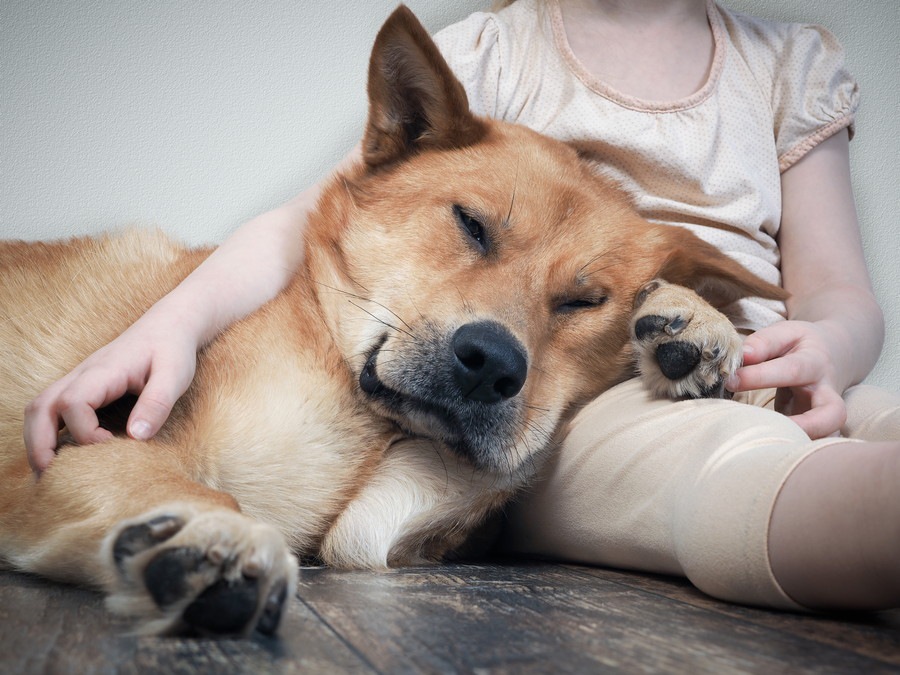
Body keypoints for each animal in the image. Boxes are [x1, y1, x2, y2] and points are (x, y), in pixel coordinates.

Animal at [0, 6, 780, 640]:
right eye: (470, 224)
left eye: (583, 302)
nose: (493, 365)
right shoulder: (80, 451)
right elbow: (184, 485)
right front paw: (205, 535)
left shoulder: (385, 515)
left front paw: (695, 322)